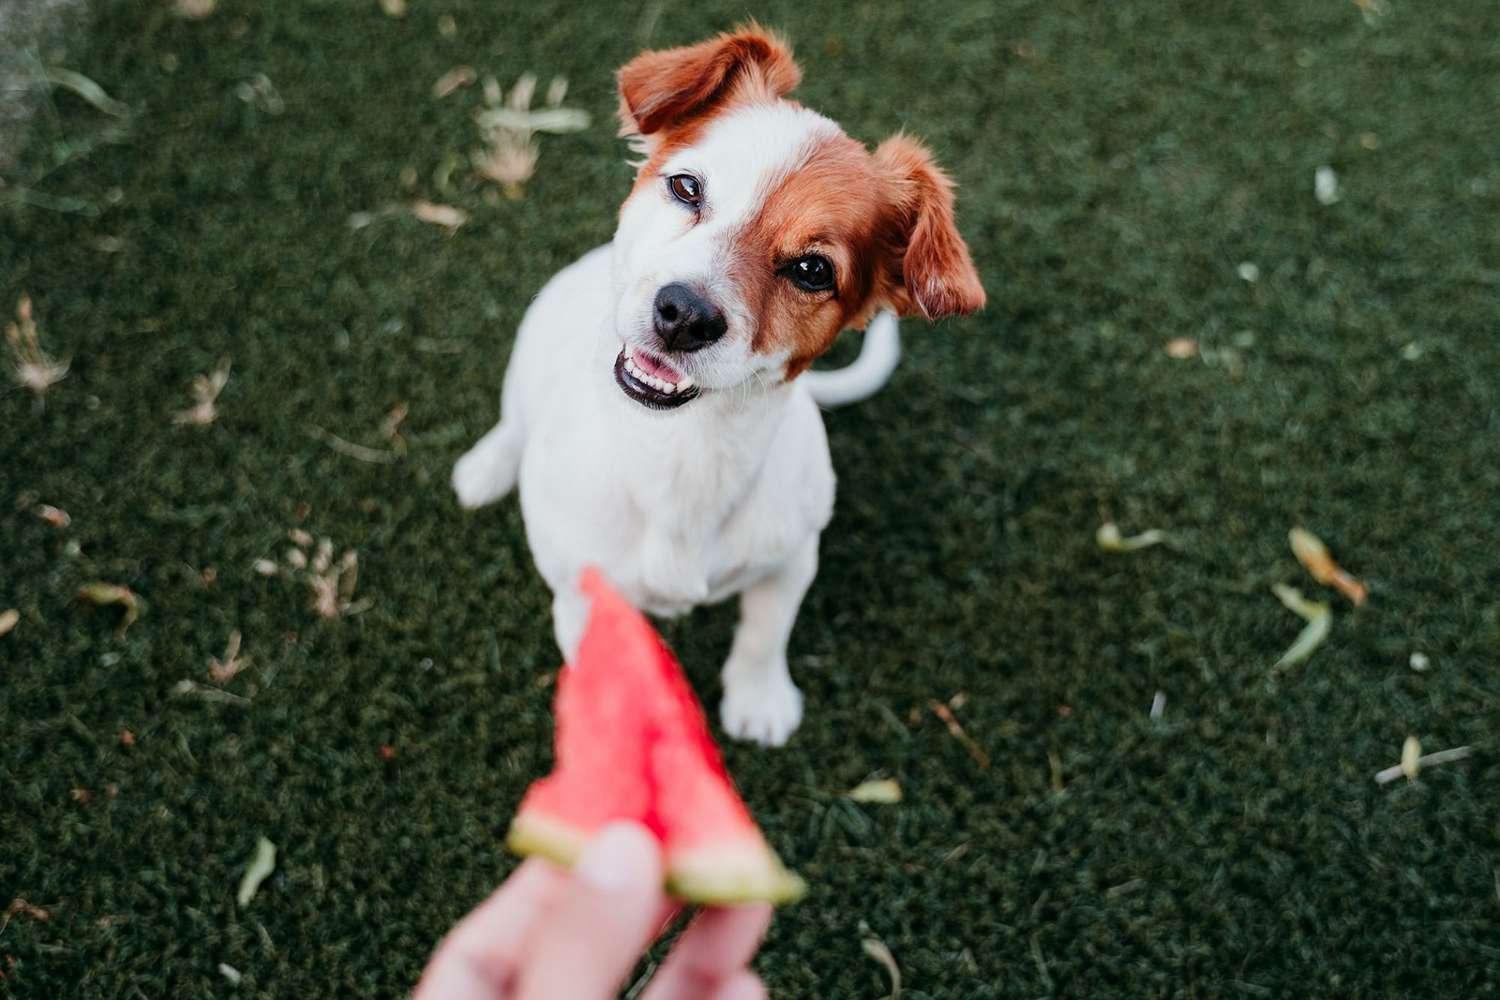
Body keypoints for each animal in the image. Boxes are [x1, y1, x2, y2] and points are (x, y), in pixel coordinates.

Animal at [447, 25, 984, 743]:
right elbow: (609, 679)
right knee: (514, 421)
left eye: (813, 270)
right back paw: (486, 468)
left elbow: (763, 633)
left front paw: (759, 701)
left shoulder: (792, 562)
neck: (686, 450)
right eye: (686, 187)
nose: (683, 314)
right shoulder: (585, 598)